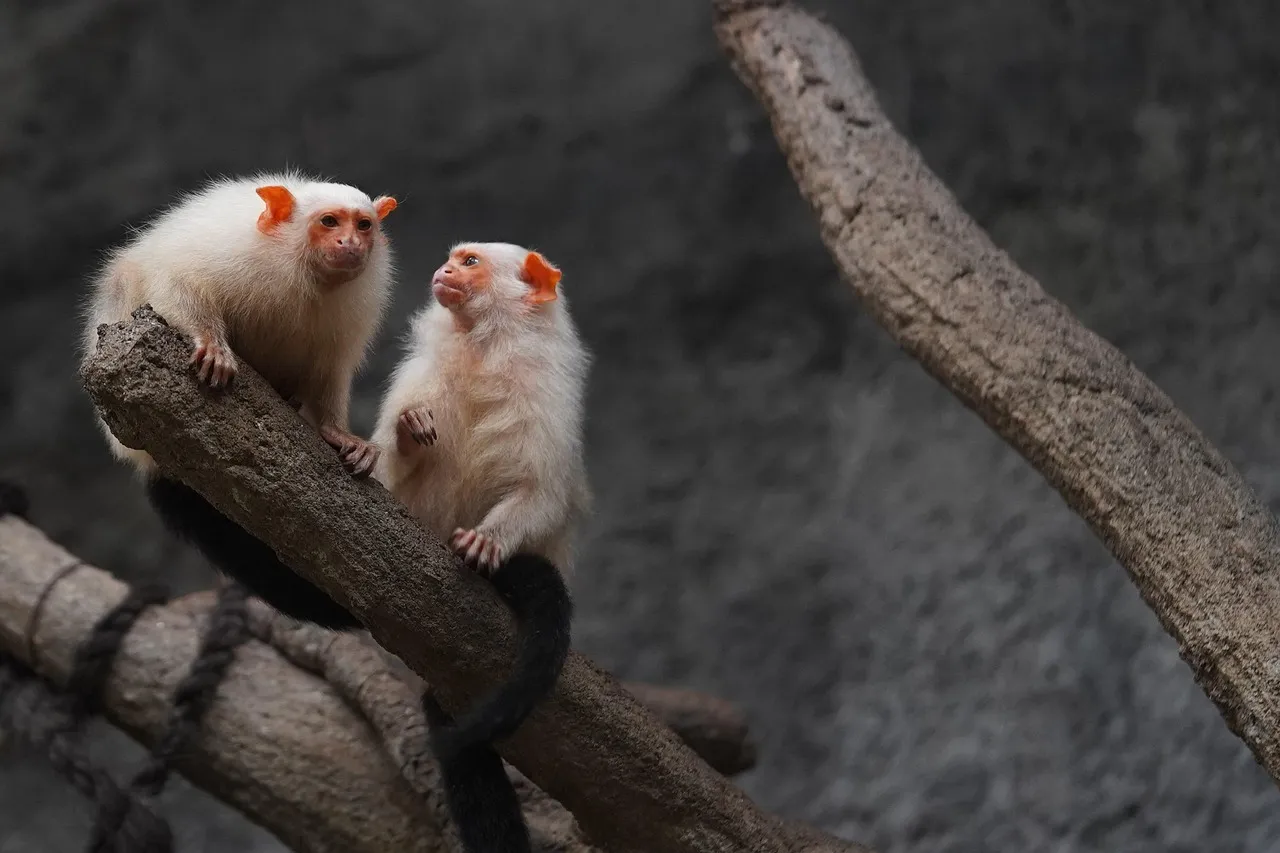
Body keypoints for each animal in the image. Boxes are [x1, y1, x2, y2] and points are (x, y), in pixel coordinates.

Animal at [82, 172, 397, 628]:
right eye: (329, 222)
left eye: (364, 225)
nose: (350, 244)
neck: (302, 273)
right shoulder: (228, 251)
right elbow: (177, 282)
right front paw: (212, 346)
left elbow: (330, 375)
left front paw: (341, 435)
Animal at [371, 242, 591, 851]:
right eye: (452, 259)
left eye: (469, 262)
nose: (443, 271)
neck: (482, 349)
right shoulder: (421, 375)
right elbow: (388, 465)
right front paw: (408, 427)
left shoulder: (546, 397)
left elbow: (541, 493)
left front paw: (487, 542)